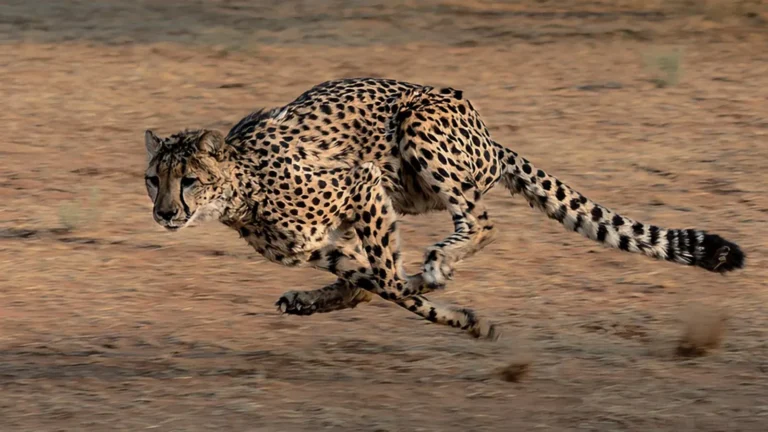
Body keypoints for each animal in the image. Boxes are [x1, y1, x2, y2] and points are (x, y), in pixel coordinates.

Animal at [143, 77, 745, 340]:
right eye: (154, 180)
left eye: (189, 180)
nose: (165, 214)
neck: (241, 189)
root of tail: (488, 135)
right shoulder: (321, 245)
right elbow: (375, 283)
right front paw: (457, 314)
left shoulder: (361, 183)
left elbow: (389, 280)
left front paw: (460, 314)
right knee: (374, 279)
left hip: (418, 131)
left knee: (481, 222)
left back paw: (439, 263)